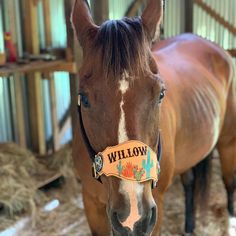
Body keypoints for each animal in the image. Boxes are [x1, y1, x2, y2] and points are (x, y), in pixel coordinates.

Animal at [71, 0, 236, 235]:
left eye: (160, 94)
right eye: (84, 99)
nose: (133, 217)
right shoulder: (91, 205)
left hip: (228, 141)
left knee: (229, 181)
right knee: (190, 182)